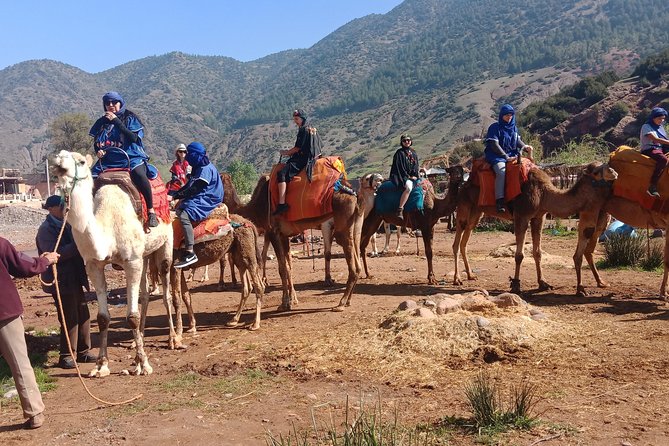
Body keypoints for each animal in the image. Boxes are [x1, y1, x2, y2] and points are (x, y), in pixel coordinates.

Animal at [51, 150, 175, 376]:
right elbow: (102, 317)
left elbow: (132, 316)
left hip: (165, 242)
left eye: (80, 161)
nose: (59, 164)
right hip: (144, 255)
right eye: (58, 156)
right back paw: (138, 340)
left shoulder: (131, 261)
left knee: (166, 290)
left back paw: (174, 339)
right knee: (145, 294)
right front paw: (101, 366)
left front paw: (143, 364)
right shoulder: (94, 264)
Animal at [224, 174, 362, 310]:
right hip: (355, 225)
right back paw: (348, 300)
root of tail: (354, 195)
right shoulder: (284, 235)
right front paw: (291, 300)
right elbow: (288, 267)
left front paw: (285, 303)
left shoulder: (273, 232)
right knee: (357, 258)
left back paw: (341, 302)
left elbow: (282, 268)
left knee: (351, 262)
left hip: (341, 226)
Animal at [452, 162, 620, 294]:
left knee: (465, 239)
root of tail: (464, 184)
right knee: (457, 238)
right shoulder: (522, 216)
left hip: (477, 211)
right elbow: (519, 255)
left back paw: (470, 275)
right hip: (463, 205)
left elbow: (537, 252)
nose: (614, 172)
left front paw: (543, 283)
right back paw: (457, 279)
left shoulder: (539, 217)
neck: (544, 193)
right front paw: (516, 285)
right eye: (596, 171)